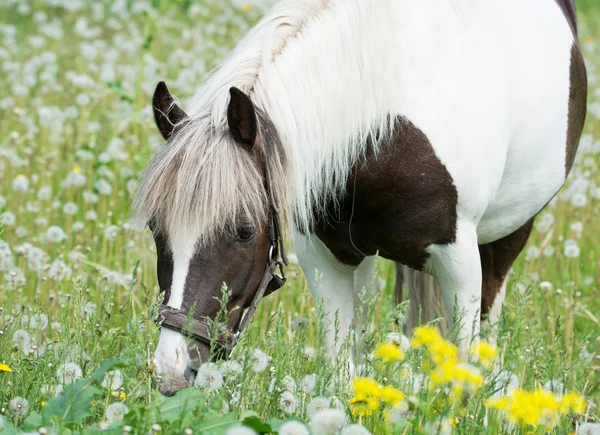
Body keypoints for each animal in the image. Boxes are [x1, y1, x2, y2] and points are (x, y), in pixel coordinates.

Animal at [132, 0, 584, 396]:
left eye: (243, 231)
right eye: (156, 230)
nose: (172, 369)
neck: (382, 132)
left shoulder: (459, 257)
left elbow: (465, 363)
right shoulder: (324, 256)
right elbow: (339, 368)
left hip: (509, 232)